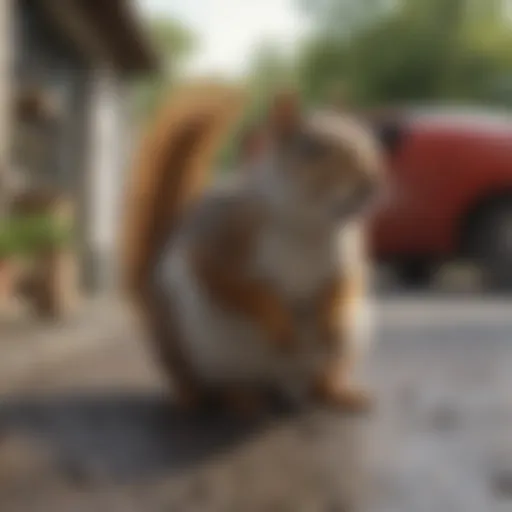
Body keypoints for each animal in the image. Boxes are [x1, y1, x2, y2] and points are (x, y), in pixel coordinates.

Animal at [121, 82, 384, 414]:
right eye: (313, 150)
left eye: (369, 143)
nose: (372, 182)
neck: (308, 225)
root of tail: (285, 385)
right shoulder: (220, 241)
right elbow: (235, 286)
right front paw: (278, 321)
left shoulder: (348, 257)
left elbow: (346, 283)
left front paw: (334, 317)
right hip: (196, 347)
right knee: (210, 384)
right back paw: (227, 400)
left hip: (351, 339)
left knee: (324, 378)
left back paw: (340, 391)